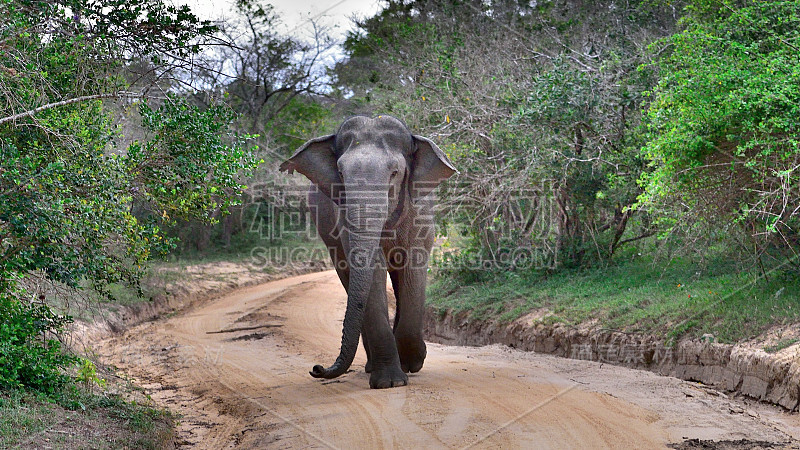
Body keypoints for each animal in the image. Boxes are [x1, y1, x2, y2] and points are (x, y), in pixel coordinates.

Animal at [280, 114, 456, 388]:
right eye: (341, 173)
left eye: (394, 173)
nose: (317, 368)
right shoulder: (343, 219)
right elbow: (372, 273)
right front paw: (390, 383)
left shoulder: (420, 212)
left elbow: (413, 268)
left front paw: (413, 363)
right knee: (347, 274)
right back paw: (373, 366)